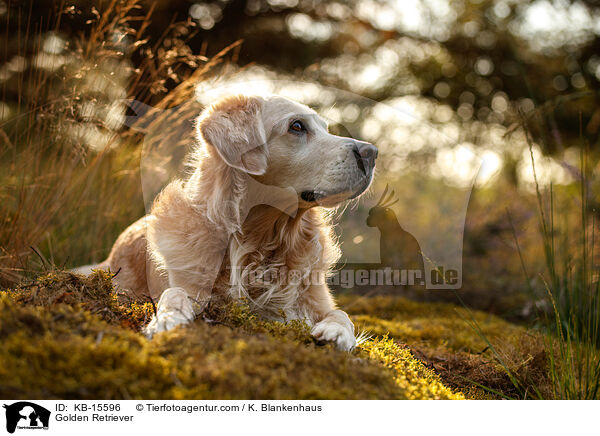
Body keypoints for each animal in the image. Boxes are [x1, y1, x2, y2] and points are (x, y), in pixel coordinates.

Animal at [75, 95, 376, 350]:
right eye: (297, 126)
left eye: (326, 128)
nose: (372, 152)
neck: (264, 241)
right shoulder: (191, 285)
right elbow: (174, 293)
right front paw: (168, 318)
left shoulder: (315, 296)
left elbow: (342, 314)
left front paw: (337, 333)